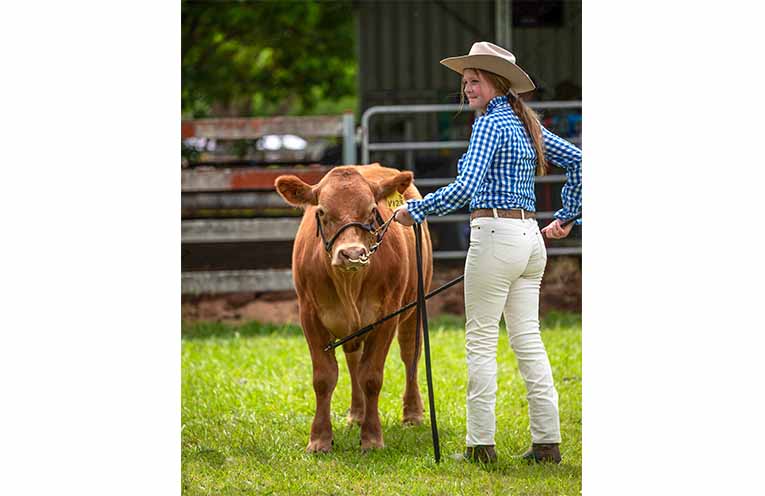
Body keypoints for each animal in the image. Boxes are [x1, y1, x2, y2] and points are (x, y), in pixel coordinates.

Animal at [274, 164, 433, 452]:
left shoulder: (387, 317)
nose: (351, 254)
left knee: (410, 356)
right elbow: (324, 378)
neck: (348, 283)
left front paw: (372, 437)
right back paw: (357, 413)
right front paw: (319, 438)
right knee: (353, 362)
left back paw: (412, 413)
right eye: (321, 212)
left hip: (414, 307)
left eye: (371, 210)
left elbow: (371, 377)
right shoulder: (309, 315)